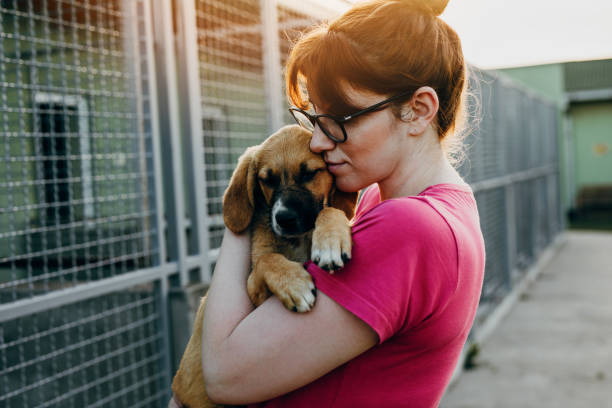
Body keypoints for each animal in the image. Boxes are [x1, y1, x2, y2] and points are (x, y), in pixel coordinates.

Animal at [170, 126, 356, 406]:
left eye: (309, 173)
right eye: (267, 180)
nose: (284, 218)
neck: (297, 240)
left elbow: (329, 210)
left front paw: (331, 239)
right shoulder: (254, 293)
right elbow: (266, 260)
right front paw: (294, 284)